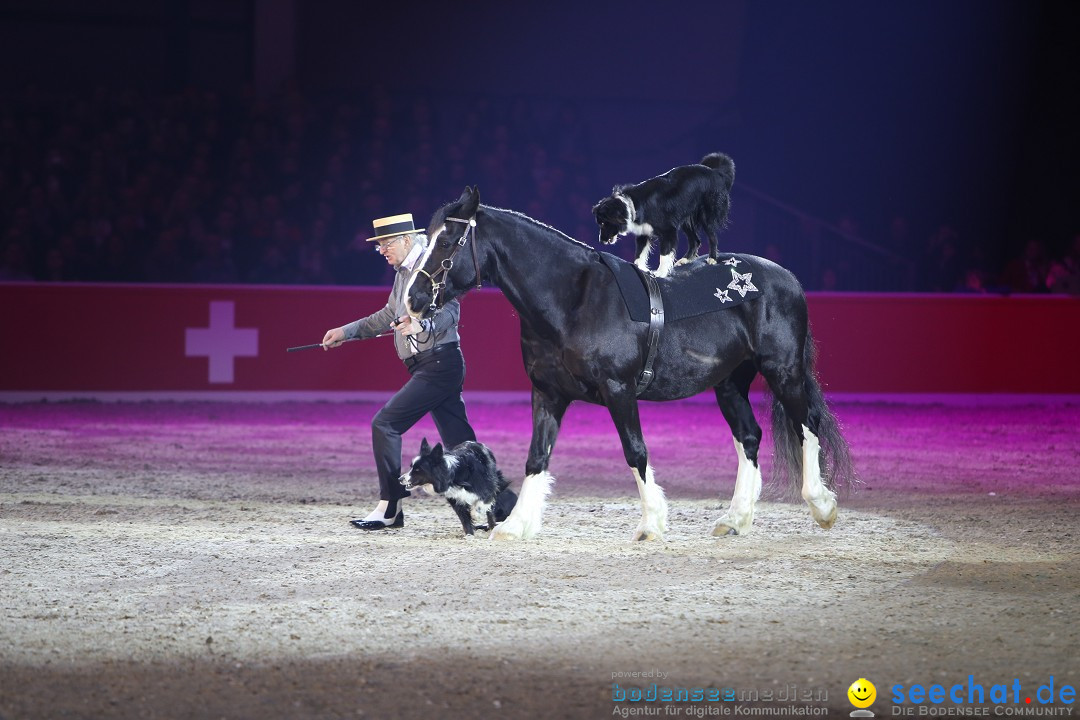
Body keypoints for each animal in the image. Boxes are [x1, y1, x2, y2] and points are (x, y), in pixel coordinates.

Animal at [406, 185, 851, 539]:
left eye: (447, 242)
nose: (413, 299)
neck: (573, 301)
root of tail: (786, 278)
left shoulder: (619, 390)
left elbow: (635, 451)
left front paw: (651, 523)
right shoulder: (548, 393)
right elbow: (537, 457)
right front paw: (516, 526)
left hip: (783, 371)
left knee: (807, 425)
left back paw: (822, 506)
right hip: (729, 383)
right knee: (750, 437)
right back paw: (736, 519)